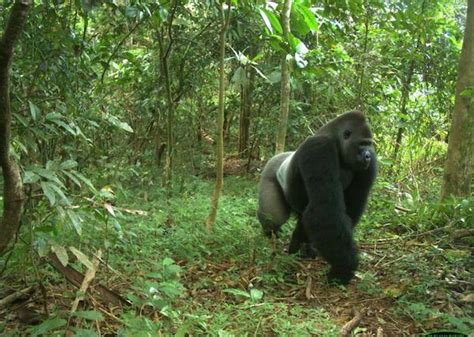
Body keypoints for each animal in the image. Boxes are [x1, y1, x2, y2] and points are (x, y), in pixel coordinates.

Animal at [258, 110, 376, 284]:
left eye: (369, 144)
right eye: (362, 144)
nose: (368, 155)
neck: (336, 141)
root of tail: (278, 155)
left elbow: (346, 210)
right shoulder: (319, 149)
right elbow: (325, 212)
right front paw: (342, 269)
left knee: (302, 218)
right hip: (269, 171)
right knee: (275, 217)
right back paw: (270, 232)